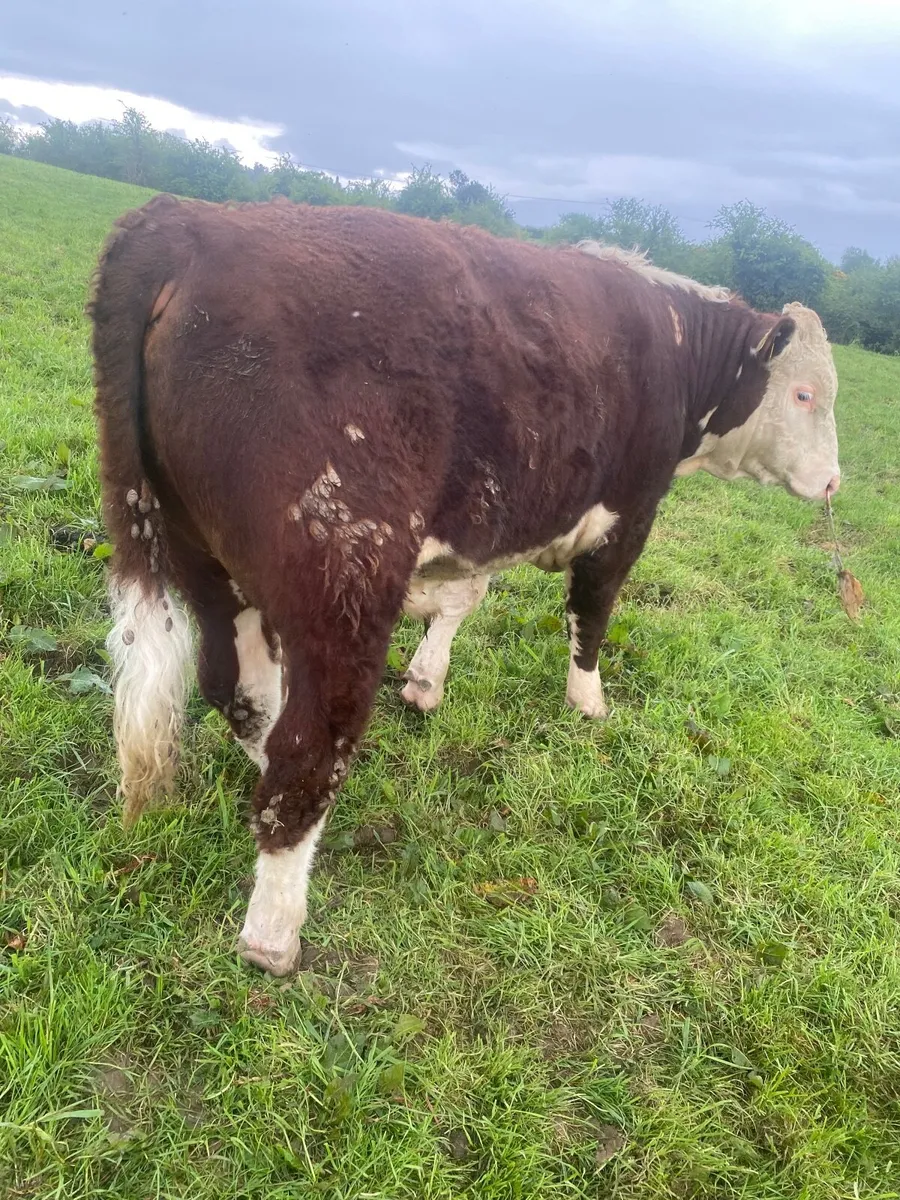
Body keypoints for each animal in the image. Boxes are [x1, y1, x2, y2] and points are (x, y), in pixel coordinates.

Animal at [88, 195, 840, 975]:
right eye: (805, 393)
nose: (834, 482)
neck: (679, 345)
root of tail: (183, 219)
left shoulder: (483, 523)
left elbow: (461, 598)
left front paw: (427, 680)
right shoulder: (626, 515)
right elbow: (593, 611)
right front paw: (588, 701)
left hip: (199, 556)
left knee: (238, 690)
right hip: (344, 573)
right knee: (310, 744)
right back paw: (274, 932)